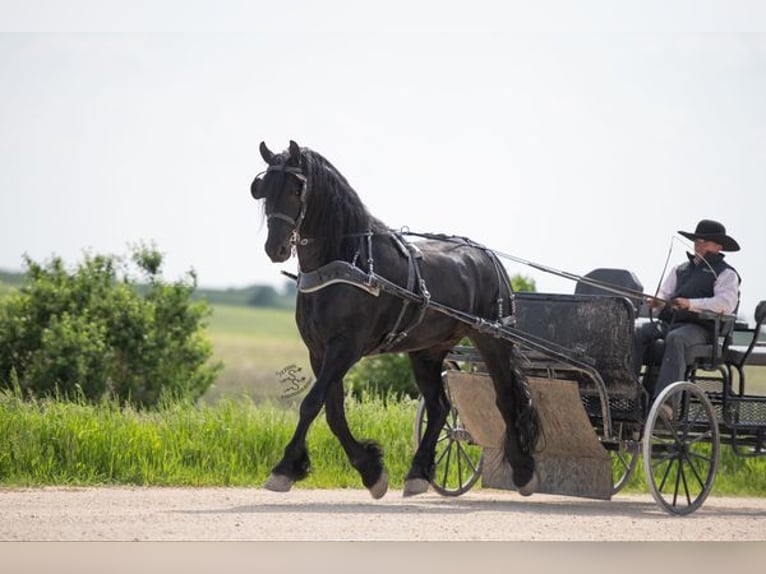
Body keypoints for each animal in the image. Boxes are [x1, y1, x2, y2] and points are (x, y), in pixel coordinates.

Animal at [250, 141, 540, 500]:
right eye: (263, 190)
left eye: (294, 189)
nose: (274, 248)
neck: (347, 261)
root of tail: (488, 256)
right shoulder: (319, 352)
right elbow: (333, 412)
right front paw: (370, 470)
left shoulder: (345, 348)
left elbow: (311, 403)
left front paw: (284, 467)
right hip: (427, 351)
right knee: (440, 407)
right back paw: (418, 471)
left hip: (492, 339)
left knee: (505, 399)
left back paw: (523, 470)